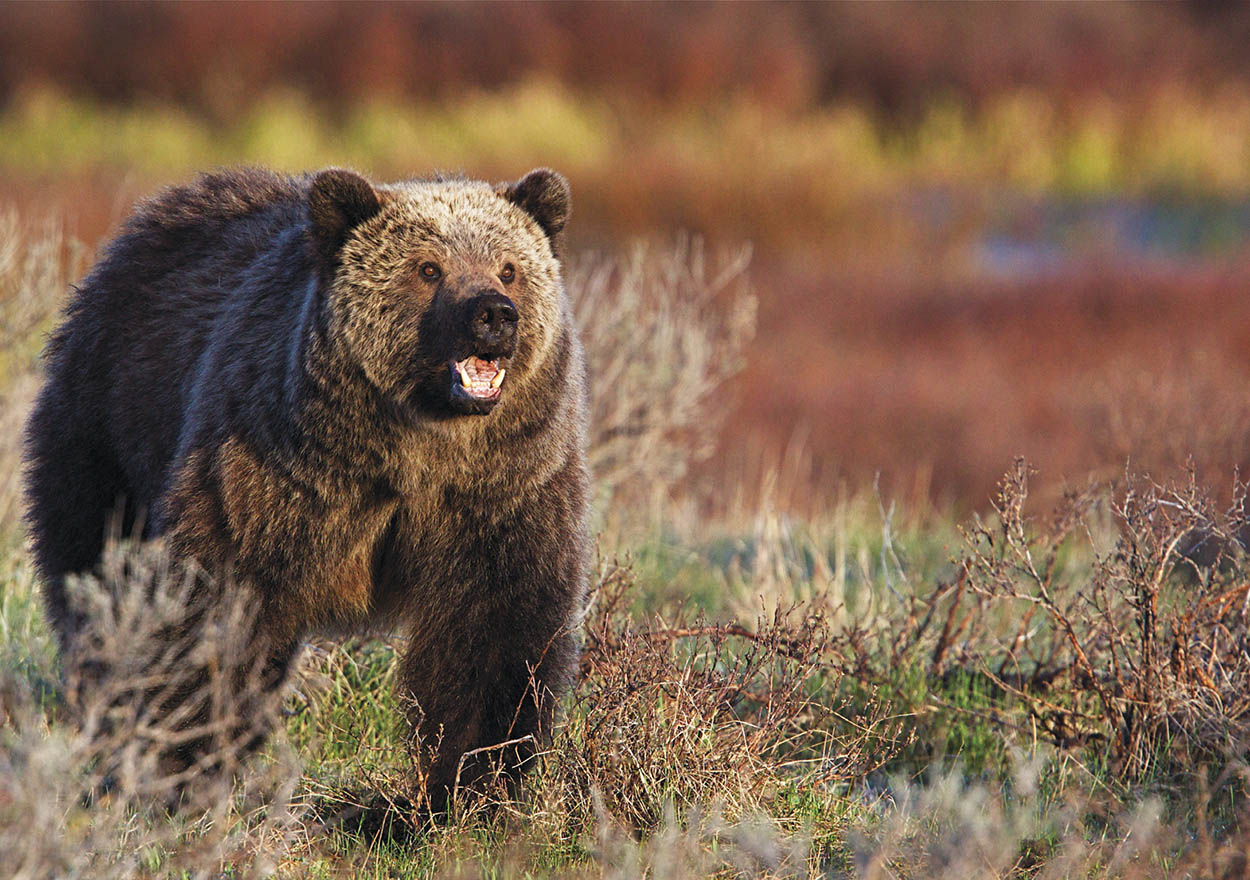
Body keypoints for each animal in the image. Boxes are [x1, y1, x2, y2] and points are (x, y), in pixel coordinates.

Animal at [24, 166, 590, 810]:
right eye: (428, 268)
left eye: (509, 268)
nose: (494, 313)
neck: (411, 449)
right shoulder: (277, 473)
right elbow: (217, 607)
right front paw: (180, 765)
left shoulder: (500, 490)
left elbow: (494, 632)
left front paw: (464, 788)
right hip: (109, 428)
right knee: (96, 571)